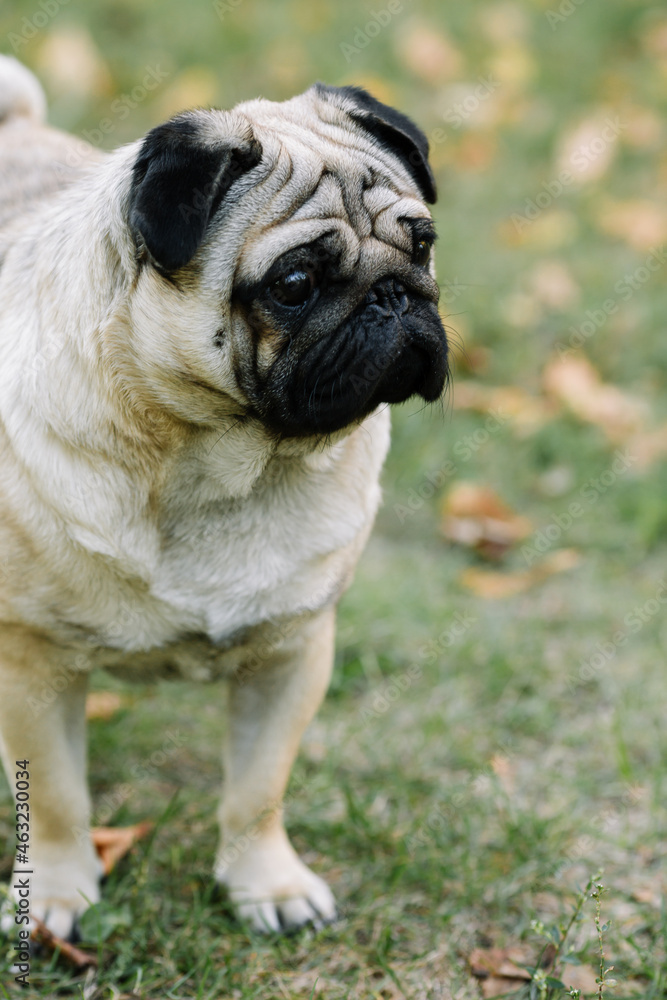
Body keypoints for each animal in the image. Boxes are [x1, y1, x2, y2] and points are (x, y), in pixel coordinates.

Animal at [0, 56, 448, 936]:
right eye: (295, 283)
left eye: (421, 245)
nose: (394, 294)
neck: (226, 467)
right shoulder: (33, 664)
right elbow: (57, 799)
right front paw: (55, 894)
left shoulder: (291, 655)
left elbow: (256, 790)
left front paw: (264, 885)